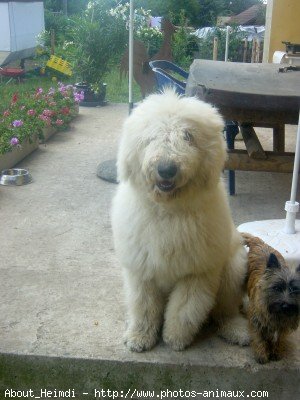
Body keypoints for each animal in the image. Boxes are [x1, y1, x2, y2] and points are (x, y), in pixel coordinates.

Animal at [111, 90, 247, 350]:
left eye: (188, 136)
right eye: (152, 136)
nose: (166, 169)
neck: (169, 211)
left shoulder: (197, 272)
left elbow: (185, 309)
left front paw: (175, 339)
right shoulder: (141, 270)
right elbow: (144, 306)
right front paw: (139, 338)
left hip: (233, 269)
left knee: (226, 310)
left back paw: (237, 330)